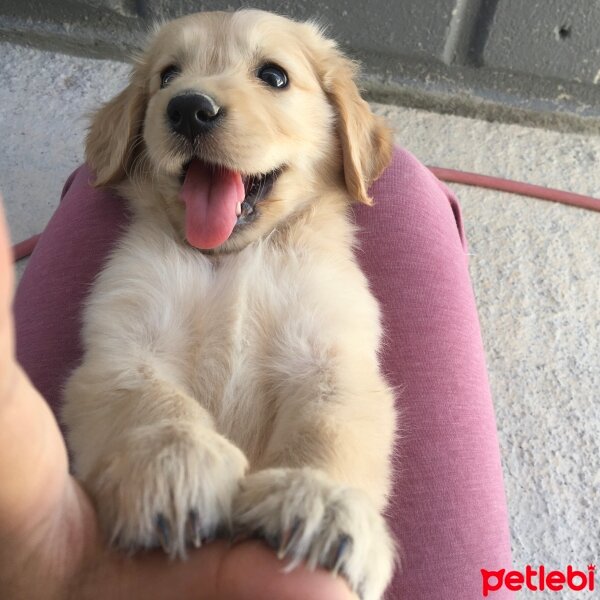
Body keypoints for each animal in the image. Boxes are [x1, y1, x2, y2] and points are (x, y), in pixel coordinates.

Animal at [61, 9, 398, 600]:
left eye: (274, 76)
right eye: (167, 76)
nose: (188, 107)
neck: (231, 259)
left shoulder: (333, 356)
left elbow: (328, 426)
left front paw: (320, 498)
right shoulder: (123, 345)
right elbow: (155, 403)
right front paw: (175, 464)